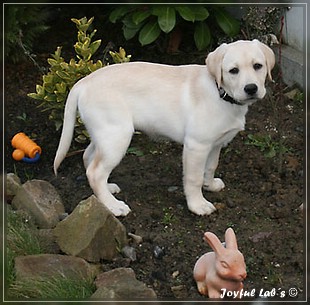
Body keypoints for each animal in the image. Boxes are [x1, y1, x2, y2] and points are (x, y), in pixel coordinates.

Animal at [54, 39, 274, 216]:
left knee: (89, 158)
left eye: (258, 66)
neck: (220, 92)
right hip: (117, 135)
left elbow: (211, 166)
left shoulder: (216, 143)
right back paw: (113, 206)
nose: (251, 88)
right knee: (95, 171)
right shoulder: (197, 145)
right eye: (233, 71)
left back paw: (107, 190)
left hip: (105, 133)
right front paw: (198, 205)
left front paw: (210, 185)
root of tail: (83, 82)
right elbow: (193, 178)